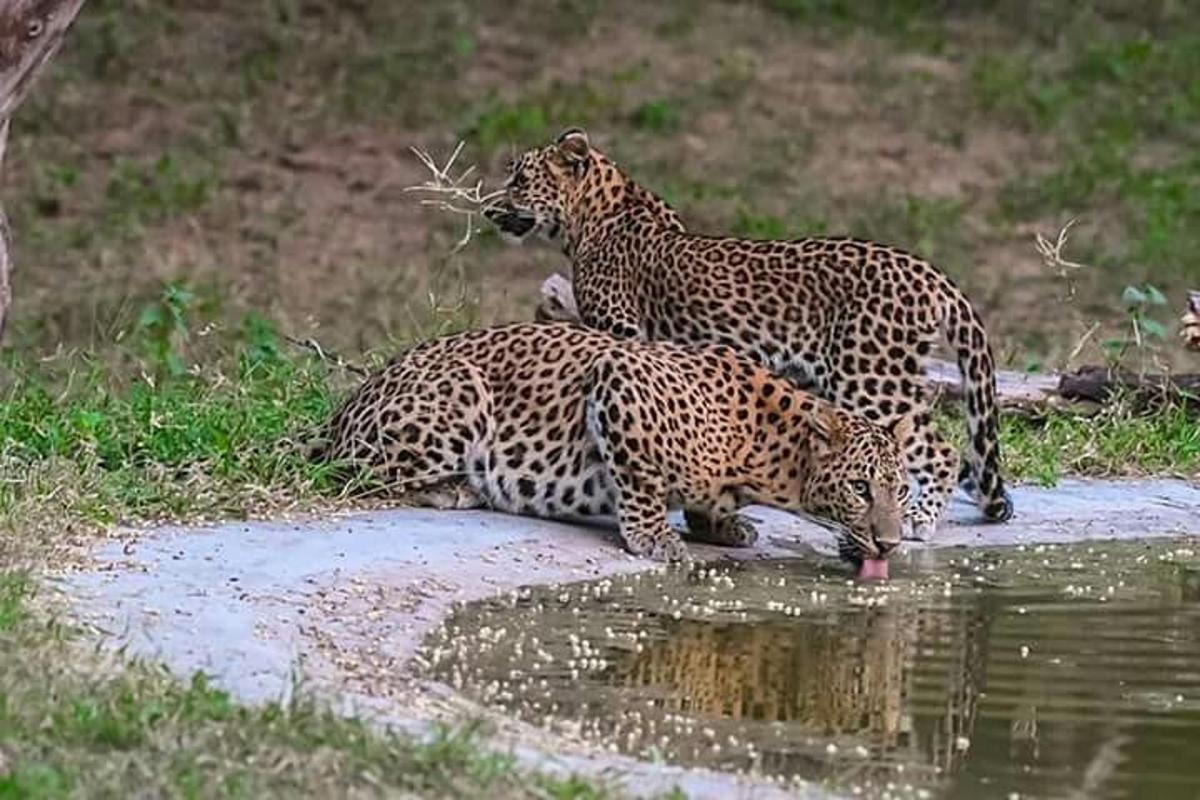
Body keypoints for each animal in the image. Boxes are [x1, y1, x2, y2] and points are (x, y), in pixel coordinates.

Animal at [319, 321, 907, 566]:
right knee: (364, 469)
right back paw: (458, 489)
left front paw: (722, 525)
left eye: (899, 491)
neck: (770, 450)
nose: (892, 545)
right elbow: (639, 481)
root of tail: (346, 406)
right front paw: (656, 539)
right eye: (860, 488)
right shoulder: (619, 377)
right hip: (462, 392)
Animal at [484, 126, 1012, 537]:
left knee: (941, 449)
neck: (593, 215)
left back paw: (919, 519)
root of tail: (927, 270)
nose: (489, 208)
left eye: (520, 180)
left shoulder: (620, 329)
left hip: (870, 379)